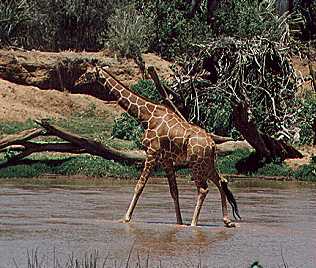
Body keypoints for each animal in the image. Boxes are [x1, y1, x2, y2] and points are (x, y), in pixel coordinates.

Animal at [75, 66, 241, 227]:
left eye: (88, 73)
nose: (77, 82)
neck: (146, 117)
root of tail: (212, 144)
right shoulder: (166, 159)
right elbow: (174, 191)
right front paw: (179, 223)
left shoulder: (152, 152)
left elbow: (140, 185)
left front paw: (125, 218)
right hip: (207, 162)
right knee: (221, 181)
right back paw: (227, 221)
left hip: (196, 163)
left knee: (203, 189)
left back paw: (194, 223)